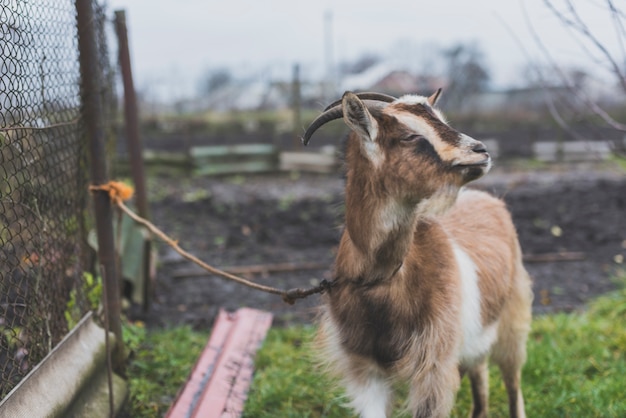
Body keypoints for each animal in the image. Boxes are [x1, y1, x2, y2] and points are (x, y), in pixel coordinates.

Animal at [302, 91, 532, 418]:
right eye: (410, 136)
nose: (481, 151)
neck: (383, 283)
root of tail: (488, 199)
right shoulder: (364, 369)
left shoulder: (433, 368)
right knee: (480, 373)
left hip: (513, 318)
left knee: (512, 380)